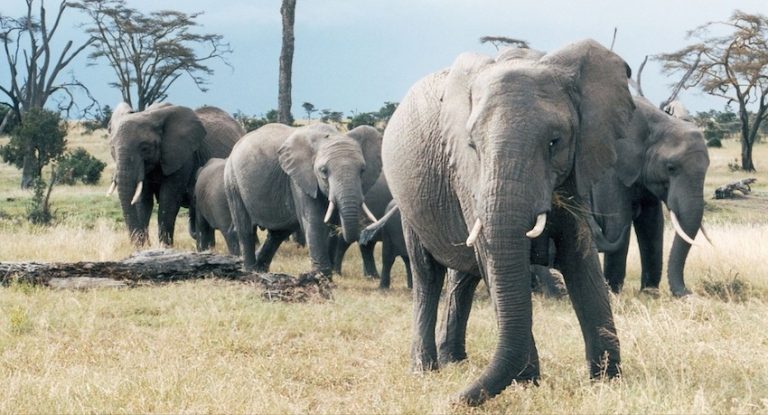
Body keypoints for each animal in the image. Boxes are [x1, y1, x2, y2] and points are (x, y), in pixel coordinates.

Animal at [107, 103, 244, 247]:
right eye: (112, 148)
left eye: (145, 148)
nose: (142, 245)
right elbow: (143, 201)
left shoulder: (183, 158)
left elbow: (168, 200)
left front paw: (165, 247)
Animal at [224, 123, 382, 274]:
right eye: (323, 171)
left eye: (362, 170)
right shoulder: (299, 178)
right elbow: (315, 221)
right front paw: (321, 276)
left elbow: (333, 222)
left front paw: (328, 273)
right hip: (232, 181)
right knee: (245, 229)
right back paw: (250, 271)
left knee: (278, 234)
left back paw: (260, 269)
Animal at [382, 40, 635, 405]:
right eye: (472, 145)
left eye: (555, 142)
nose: (451, 401)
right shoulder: (468, 174)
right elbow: (492, 258)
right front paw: (529, 384)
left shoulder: (576, 167)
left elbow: (580, 256)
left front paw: (607, 381)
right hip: (408, 203)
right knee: (428, 274)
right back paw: (425, 370)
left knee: (463, 277)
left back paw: (455, 362)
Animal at [591, 96, 710, 297]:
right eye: (671, 168)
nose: (689, 293)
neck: (659, 123)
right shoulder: (609, 171)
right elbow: (618, 223)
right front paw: (613, 294)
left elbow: (652, 225)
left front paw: (649, 293)